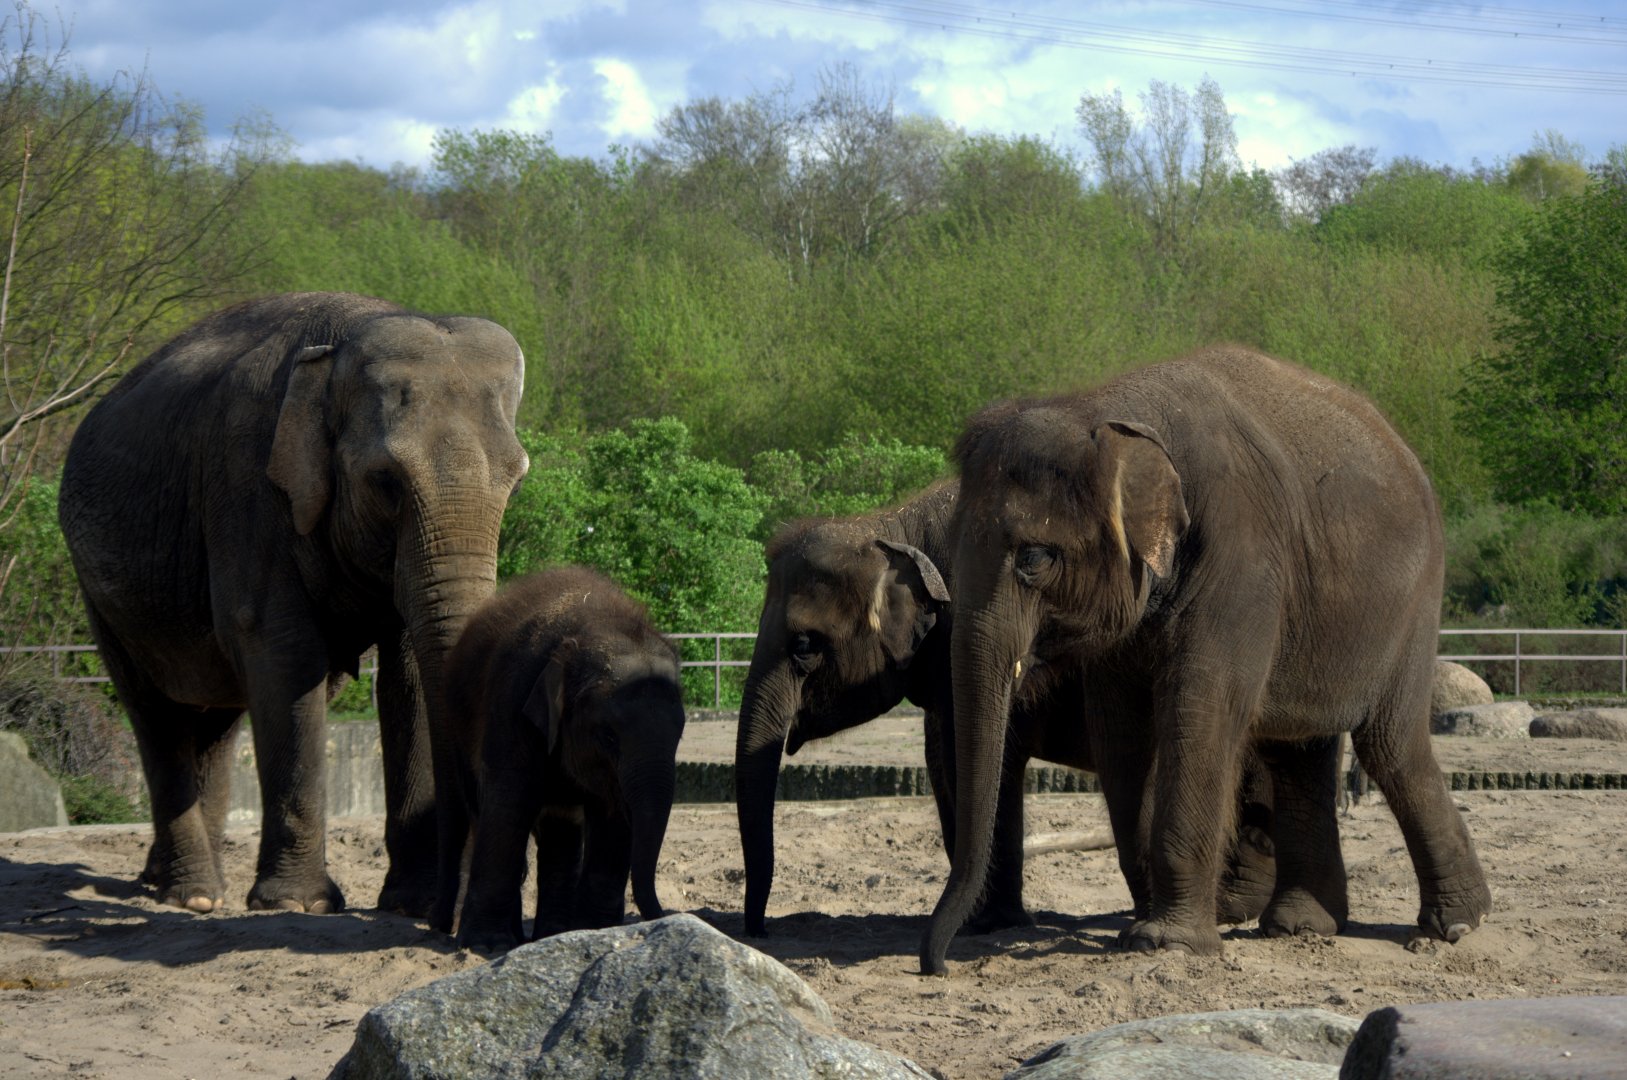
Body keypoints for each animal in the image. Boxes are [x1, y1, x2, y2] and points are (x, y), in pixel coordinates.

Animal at [58, 293, 528, 916]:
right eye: (386, 482)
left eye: (516, 483)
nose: (447, 911)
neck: (344, 344)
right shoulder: (246, 481)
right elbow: (285, 653)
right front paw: (299, 905)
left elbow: (406, 671)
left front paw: (408, 903)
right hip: (103, 598)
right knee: (156, 715)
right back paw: (194, 896)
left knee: (215, 721)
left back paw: (173, 886)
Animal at [436, 566, 684, 953]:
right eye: (608, 736)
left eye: (681, 733)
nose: (665, 916)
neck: (594, 622)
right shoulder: (512, 703)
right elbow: (508, 805)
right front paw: (486, 946)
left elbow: (611, 818)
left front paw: (597, 930)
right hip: (455, 730)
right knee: (486, 813)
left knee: (560, 831)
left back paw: (552, 934)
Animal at [735, 480, 1277, 939]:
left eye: (805, 646)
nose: (761, 930)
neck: (890, 527)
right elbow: (947, 762)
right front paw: (981, 919)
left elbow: (981, 761)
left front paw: (987, 922)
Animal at [920, 345, 1492, 974]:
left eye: (1035, 557)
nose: (937, 964)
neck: (1105, 407)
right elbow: (1120, 729)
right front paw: (1149, 924)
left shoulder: (1244, 551)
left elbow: (1200, 706)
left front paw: (1165, 943)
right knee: (1298, 751)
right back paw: (1302, 927)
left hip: (1413, 604)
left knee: (1390, 747)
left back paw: (1455, 926)